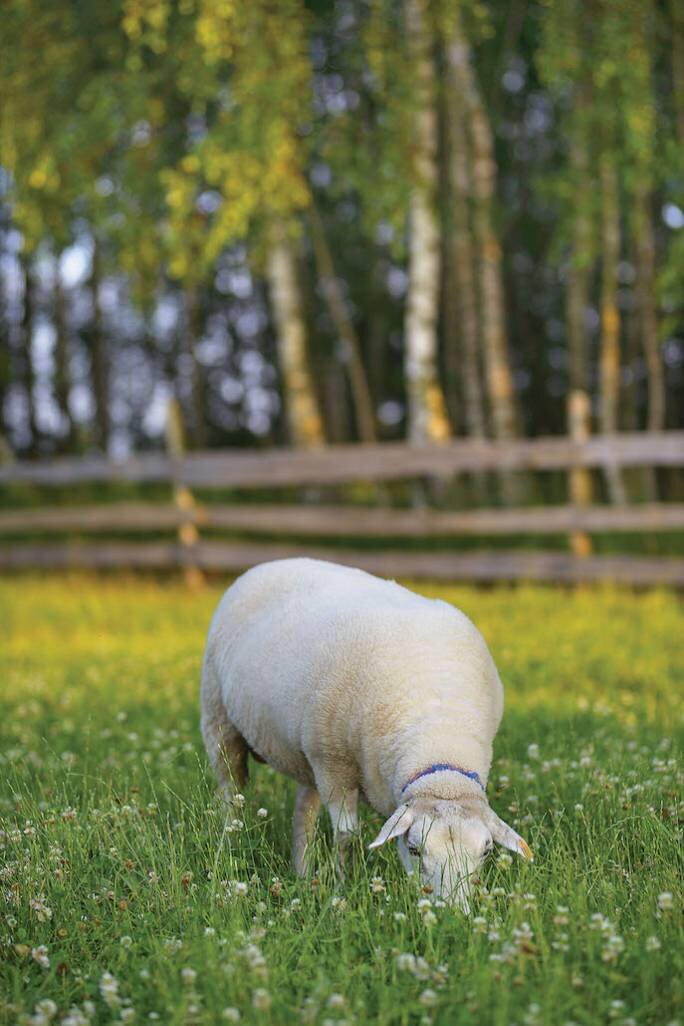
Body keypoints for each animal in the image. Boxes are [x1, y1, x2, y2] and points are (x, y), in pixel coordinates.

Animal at [200, 562, 533, 906]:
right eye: (414, 849)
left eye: (486, 852)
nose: (452, 911)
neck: (438, 736)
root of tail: (274, 562)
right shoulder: (336, 767)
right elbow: (346, 836)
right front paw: (342, 890)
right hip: (220, 718)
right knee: (230, 797)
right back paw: (227, 851)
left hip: (310, 752)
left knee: (303, 808)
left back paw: (302, 871)